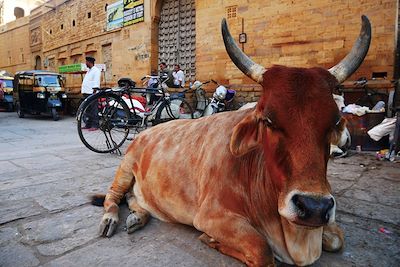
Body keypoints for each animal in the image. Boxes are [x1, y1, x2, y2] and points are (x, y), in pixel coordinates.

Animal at [91, 15, 372, 266]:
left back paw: (137, 217)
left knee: (133, 199)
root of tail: (147, 132)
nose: (313, 207)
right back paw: (110, 220)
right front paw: (211, 240)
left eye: (334, 121)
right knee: (112, 196)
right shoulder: (210, 216)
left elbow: (337, 240)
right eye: (267, 120)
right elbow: (262, 251)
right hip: (125, 167)